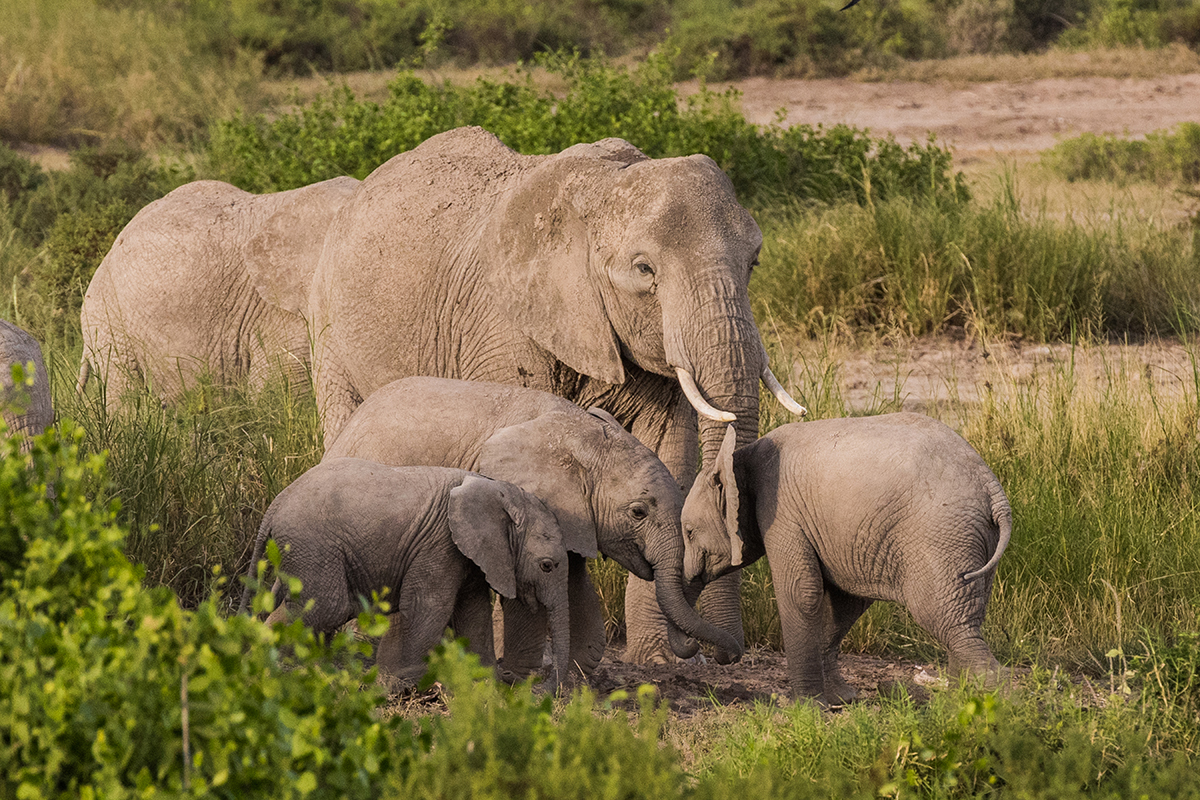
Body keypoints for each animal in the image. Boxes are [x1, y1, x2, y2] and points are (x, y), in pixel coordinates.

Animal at [243, 460, 571, 690]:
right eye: (547, 565)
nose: (546, 688)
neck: (501, 491)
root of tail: (275, 504)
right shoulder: (440, 544)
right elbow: (430, 607)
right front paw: (407, 686)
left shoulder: (471, 553)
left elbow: (473, 613)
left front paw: (486, 684)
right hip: (312, 545)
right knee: (327, 607)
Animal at [307, 125, 806, 662]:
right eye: (644, 270)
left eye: (754, 262)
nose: (718, 653)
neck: (600, 191)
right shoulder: (502, 325)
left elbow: (668, 447)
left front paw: (654, 662)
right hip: (328, 327)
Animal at [686, 417, 1012, 705]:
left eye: (688, 532)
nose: (721, 657)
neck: (738, 458)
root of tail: (992, 489)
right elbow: (845, 603)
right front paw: (841, 699)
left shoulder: (781, 512)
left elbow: (800, 591)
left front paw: (807, 708)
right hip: (975, 541)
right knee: (966, 620)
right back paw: (959, 706)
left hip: (940, 536)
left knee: (949, 623)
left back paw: (999, 705)